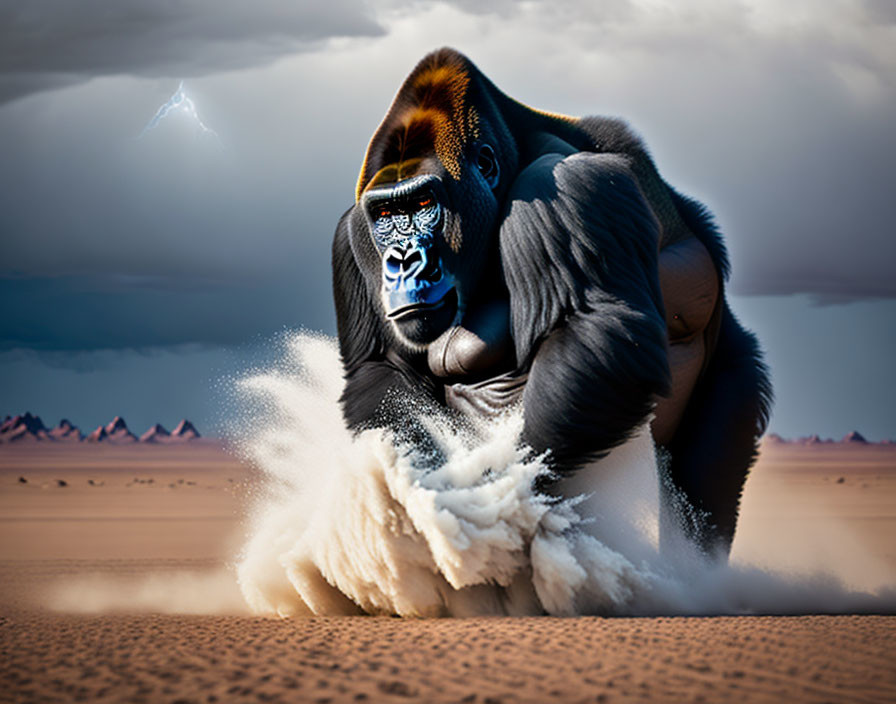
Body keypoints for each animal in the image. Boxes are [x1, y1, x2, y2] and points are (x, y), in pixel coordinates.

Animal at [330, 46, 768, 560]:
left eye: (422, 204)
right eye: (385, 213)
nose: (401, 262)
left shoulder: (563, 182)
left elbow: (595, 337)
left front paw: (495, 494)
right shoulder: (351, 235)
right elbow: (382, 371)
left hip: (733, 380)